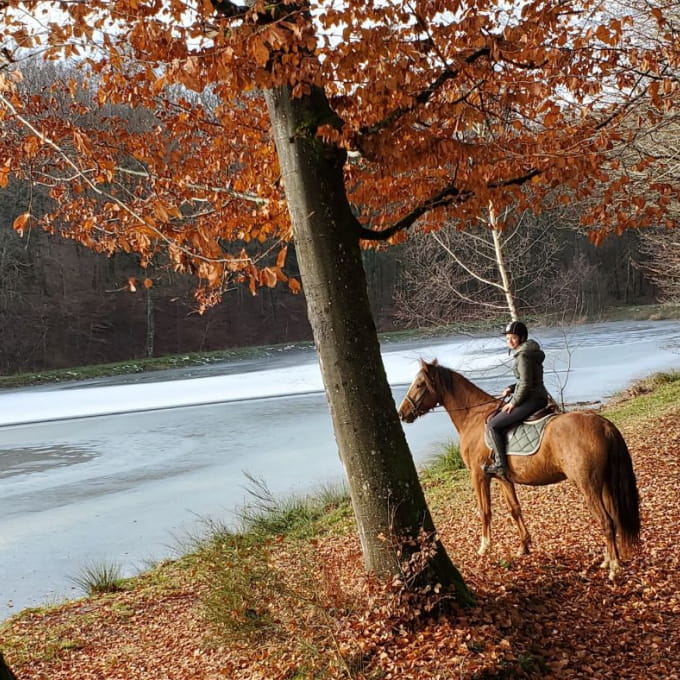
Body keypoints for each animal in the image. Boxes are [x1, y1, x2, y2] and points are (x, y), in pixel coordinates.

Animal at [398, 359, 641, 579]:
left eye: (419, 384)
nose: (402, 413)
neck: (474, 418)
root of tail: (603, 424)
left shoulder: (478, 475)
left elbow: (485, 511)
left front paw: (484, 547)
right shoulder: (502, 478)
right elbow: (514, 509)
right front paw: (524, 546)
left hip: (588, 485)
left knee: (606, 521)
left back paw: (613, 568)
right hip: (605, 484)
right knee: (614, 518)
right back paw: (608, 560)